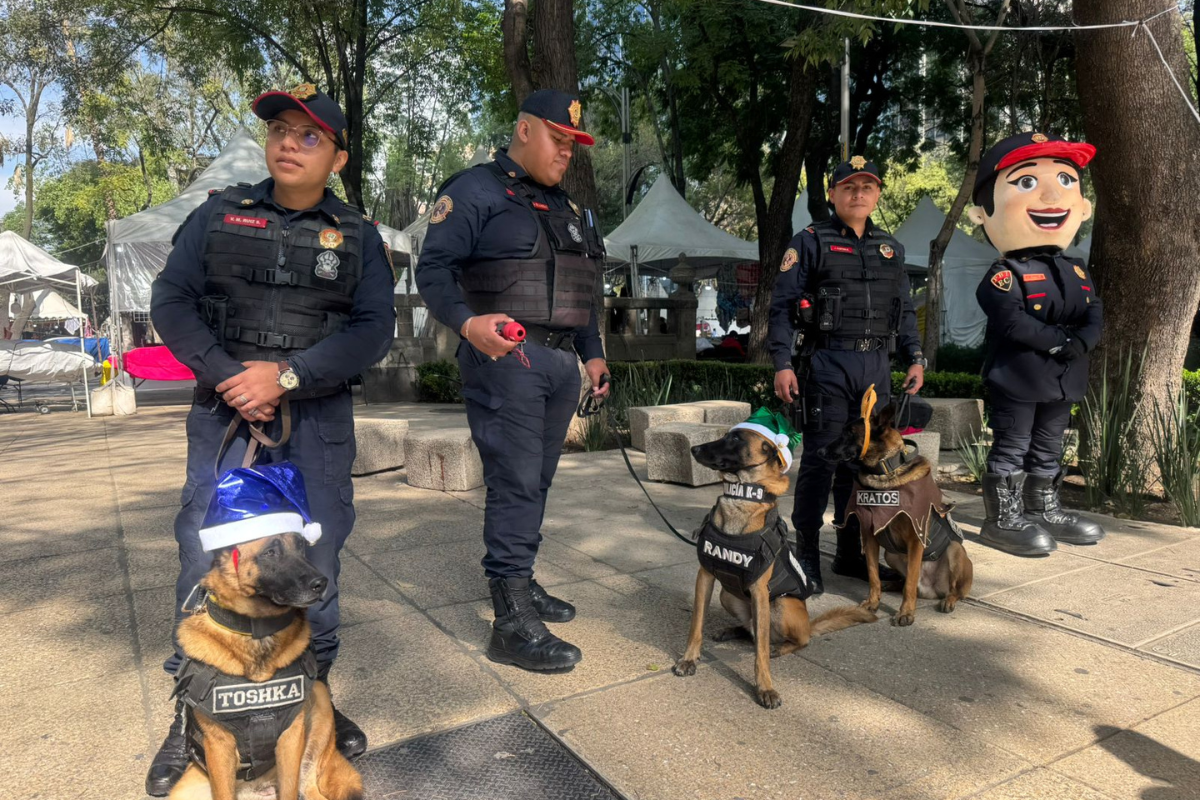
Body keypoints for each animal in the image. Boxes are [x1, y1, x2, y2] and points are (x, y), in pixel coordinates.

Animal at [168, 532, 360, 800]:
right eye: (270, 552)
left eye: (301, 546)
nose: (321, 583)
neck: (256, 631)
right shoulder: (219, 746)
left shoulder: (290, 737)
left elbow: (289, 790)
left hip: (320, 703)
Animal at [672, 424, 878, 705]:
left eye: (734, 438)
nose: (693, 449)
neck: (741, 497)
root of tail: (808, 623)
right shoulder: (705, 577)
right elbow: (696, 624)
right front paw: (689, 659)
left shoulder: (759, 591)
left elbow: (760, 651)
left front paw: (765, 687)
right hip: (728, 594)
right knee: (751, 630)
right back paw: (733, 631)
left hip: (781, 606)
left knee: (793, 639)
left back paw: (780, 647)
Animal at [820, 393, 979, 623]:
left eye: (849, 433)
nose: (820, 450)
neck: (884, 471)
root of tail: (930, 590)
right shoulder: (869, 537)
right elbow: (873, 575)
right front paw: (873, 602)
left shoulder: (915, 538)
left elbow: (910, 584)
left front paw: (906, 612)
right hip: (891, 554)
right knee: (902, 581)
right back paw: (890, 584)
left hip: (955, 550)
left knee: (953, 590)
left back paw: (948, 600)